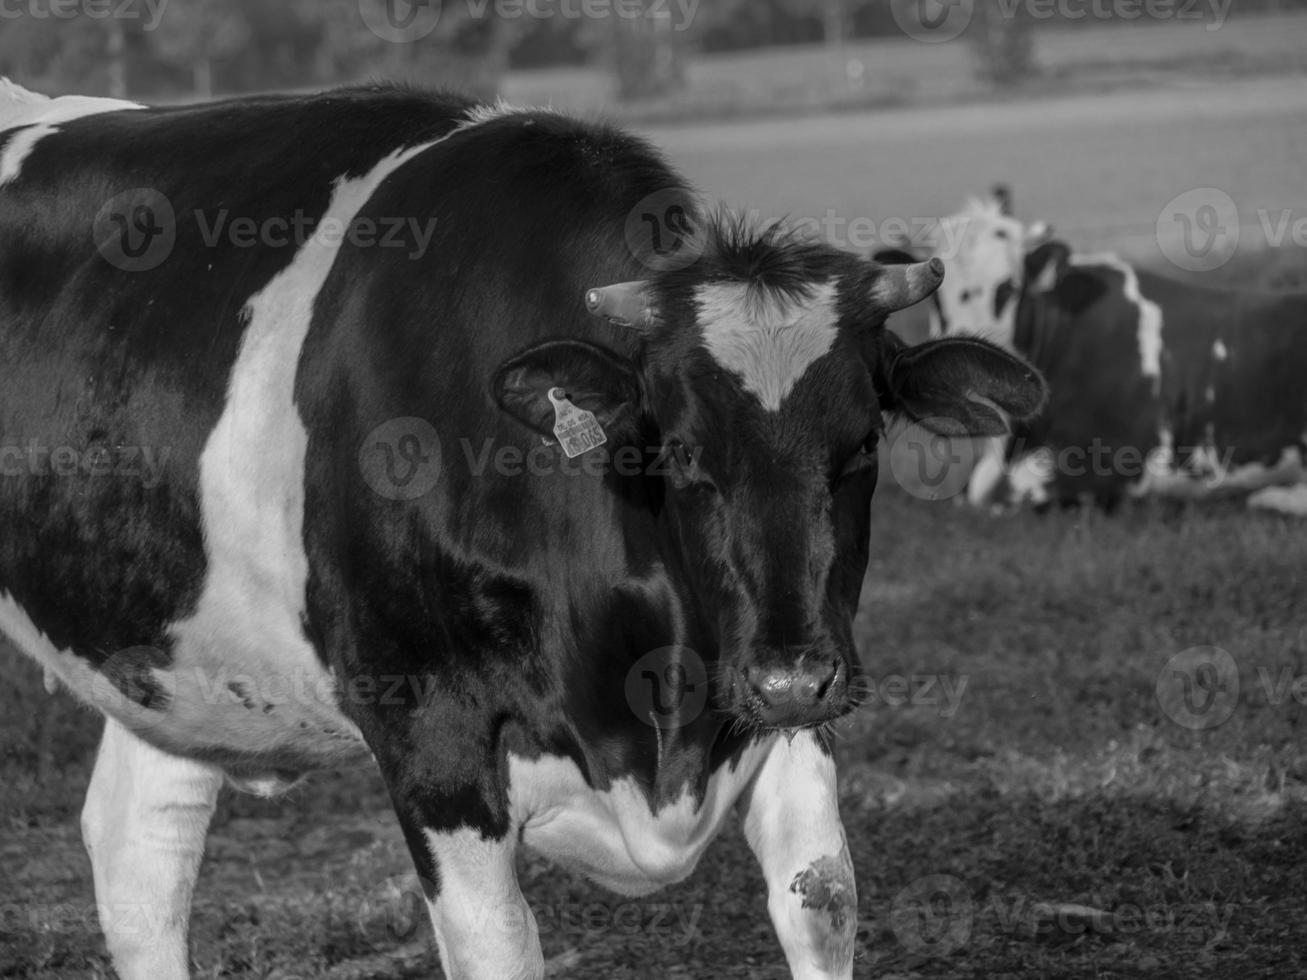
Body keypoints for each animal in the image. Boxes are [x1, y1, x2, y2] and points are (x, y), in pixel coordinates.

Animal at [0, 84, 1040, 980]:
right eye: (677, 449)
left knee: (139, 854)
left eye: (863, 441)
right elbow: (497, 943)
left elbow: (821, 897)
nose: (791, 675)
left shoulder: (780, 696)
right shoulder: (427, 726)